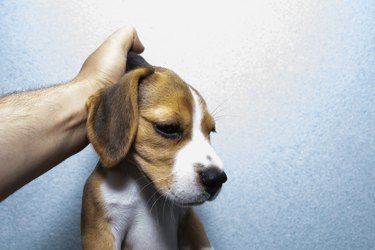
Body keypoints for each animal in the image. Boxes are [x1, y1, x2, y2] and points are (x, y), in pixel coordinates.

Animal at [82, 51, 228, 249]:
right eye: (168, 128)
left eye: (211, 131)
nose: (217, 179)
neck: (146, 189)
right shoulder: (100, 230)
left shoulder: (189, 220)